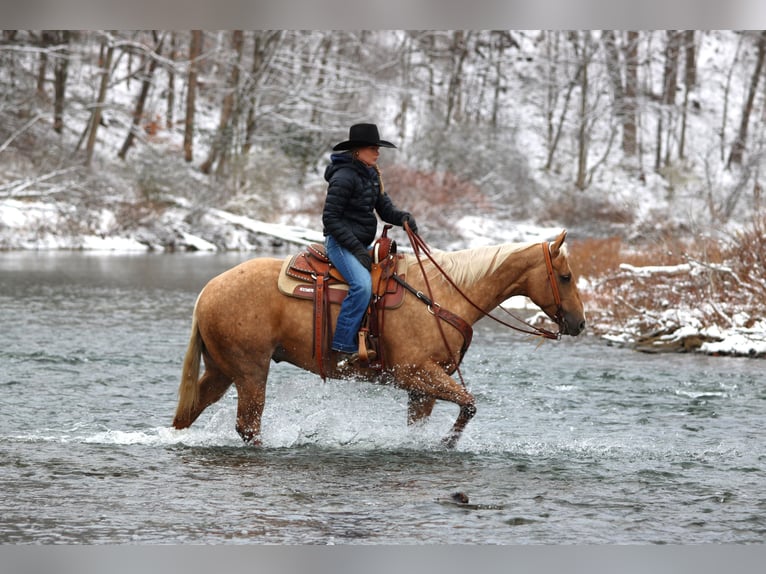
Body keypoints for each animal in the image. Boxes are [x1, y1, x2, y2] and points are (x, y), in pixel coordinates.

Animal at [172, 229, 586, 447]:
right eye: (565, 276)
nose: (579, 323)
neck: (440, 296)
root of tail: (208, 291)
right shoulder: (415, 372)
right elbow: (469, 405)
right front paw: (447, 444)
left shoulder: (421, 388)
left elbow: (427, 423)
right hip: (250, 371)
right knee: (248, 425)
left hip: (223, 370)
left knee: (190, 412)